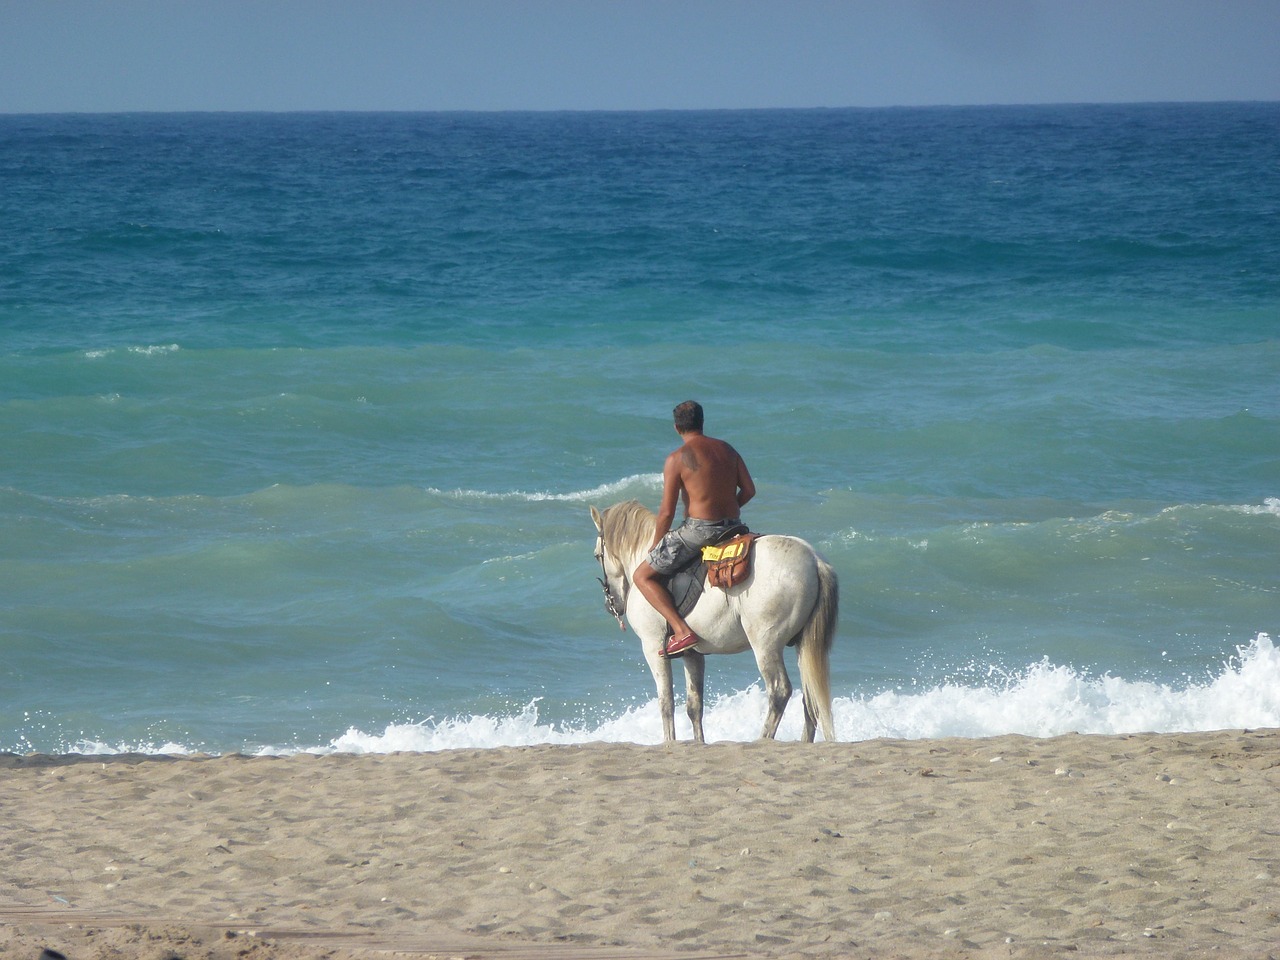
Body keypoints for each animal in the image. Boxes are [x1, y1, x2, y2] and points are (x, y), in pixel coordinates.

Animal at [591, 504, 839, 742]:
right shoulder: (693, 654)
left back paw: (763, 739)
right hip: (803, 643)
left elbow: (666, 704)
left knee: (779, 690)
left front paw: (669, 742)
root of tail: (814, 559)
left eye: (596, 555)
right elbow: (694, 706)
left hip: (765, 644)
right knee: (810, 697)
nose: (611, 604)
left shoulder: (652, 647)